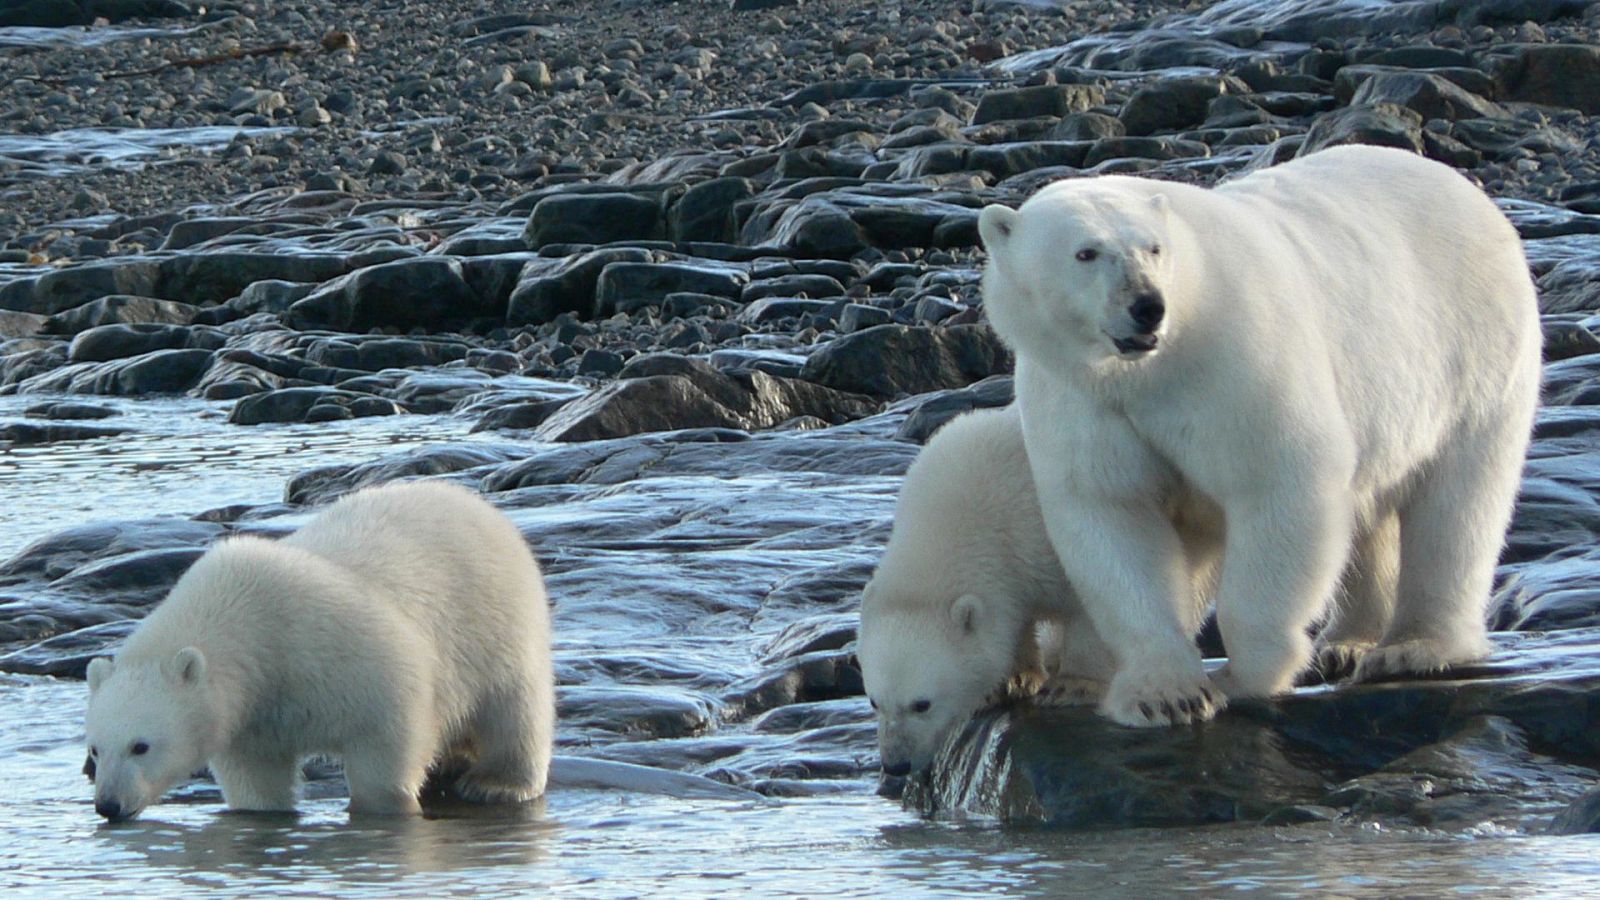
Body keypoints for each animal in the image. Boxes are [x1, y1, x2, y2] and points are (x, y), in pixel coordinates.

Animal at [86, 480, 556, 816]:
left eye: (140, 746)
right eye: (94, 749)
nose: (109, 805)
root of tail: (471, 502)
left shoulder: (334, 650)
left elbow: (387, 730)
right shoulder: (250, 719)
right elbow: (257, 782)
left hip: (495, 619)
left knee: (514, 707)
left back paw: (498, 783)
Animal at [972, 143, 1536, 723]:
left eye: (1153, 248)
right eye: (1086, 252)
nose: (1147, 306)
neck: (1153, 366)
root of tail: (1462, 187)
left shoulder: (1234, 360)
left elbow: (1278, 484)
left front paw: (1241, 676)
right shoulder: (1082, 398)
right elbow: (1113, 512)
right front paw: (1165, 693)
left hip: (1472, 354)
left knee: (1458, 506)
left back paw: (1414, 646)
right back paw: (1347, 641)